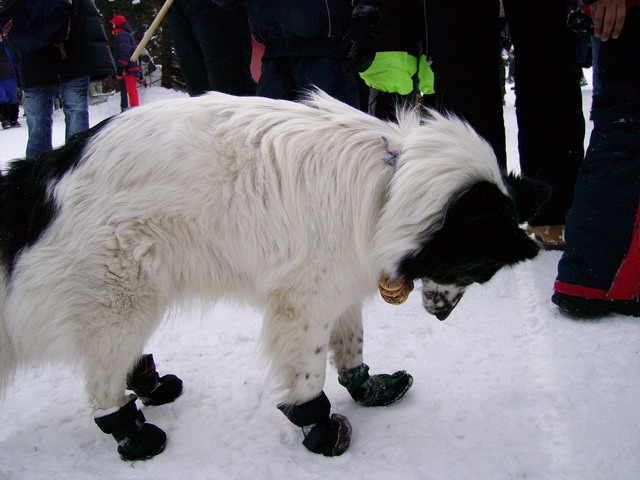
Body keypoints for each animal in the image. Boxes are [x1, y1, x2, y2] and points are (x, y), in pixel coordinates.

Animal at [1, 91, 552, 462]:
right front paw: (320, 427)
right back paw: (133, 433)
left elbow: (351, 344)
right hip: (119, 296)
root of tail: (36, 178)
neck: (389, 186)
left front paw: (368, 388)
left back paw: (152, 386)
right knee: (100, 384)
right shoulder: (304, 303)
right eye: (477, 269)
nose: (441, 317)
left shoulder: (339, 284)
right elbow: (309, 374)